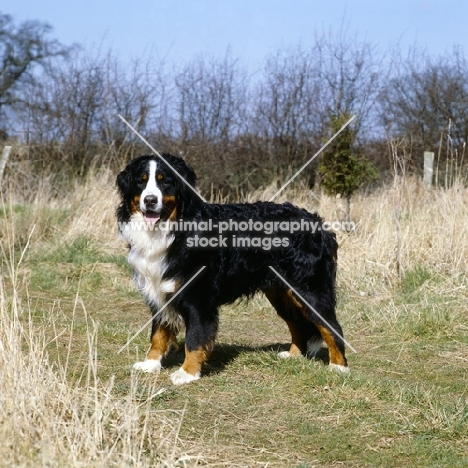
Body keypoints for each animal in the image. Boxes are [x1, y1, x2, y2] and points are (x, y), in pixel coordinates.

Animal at [117, 154, 350, 384]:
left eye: (165, 181)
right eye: (141, 181)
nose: (150, 200)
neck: (172, 230)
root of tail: (318, 224)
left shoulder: (198, 298)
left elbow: (194, 338)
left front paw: (187, 372)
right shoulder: (159, 289)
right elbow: (158, 333)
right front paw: (150, 364)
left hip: (308, 289)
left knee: (331, 326)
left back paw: (338, 367)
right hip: (280, 292)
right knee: (297, 323)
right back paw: (293, 355)